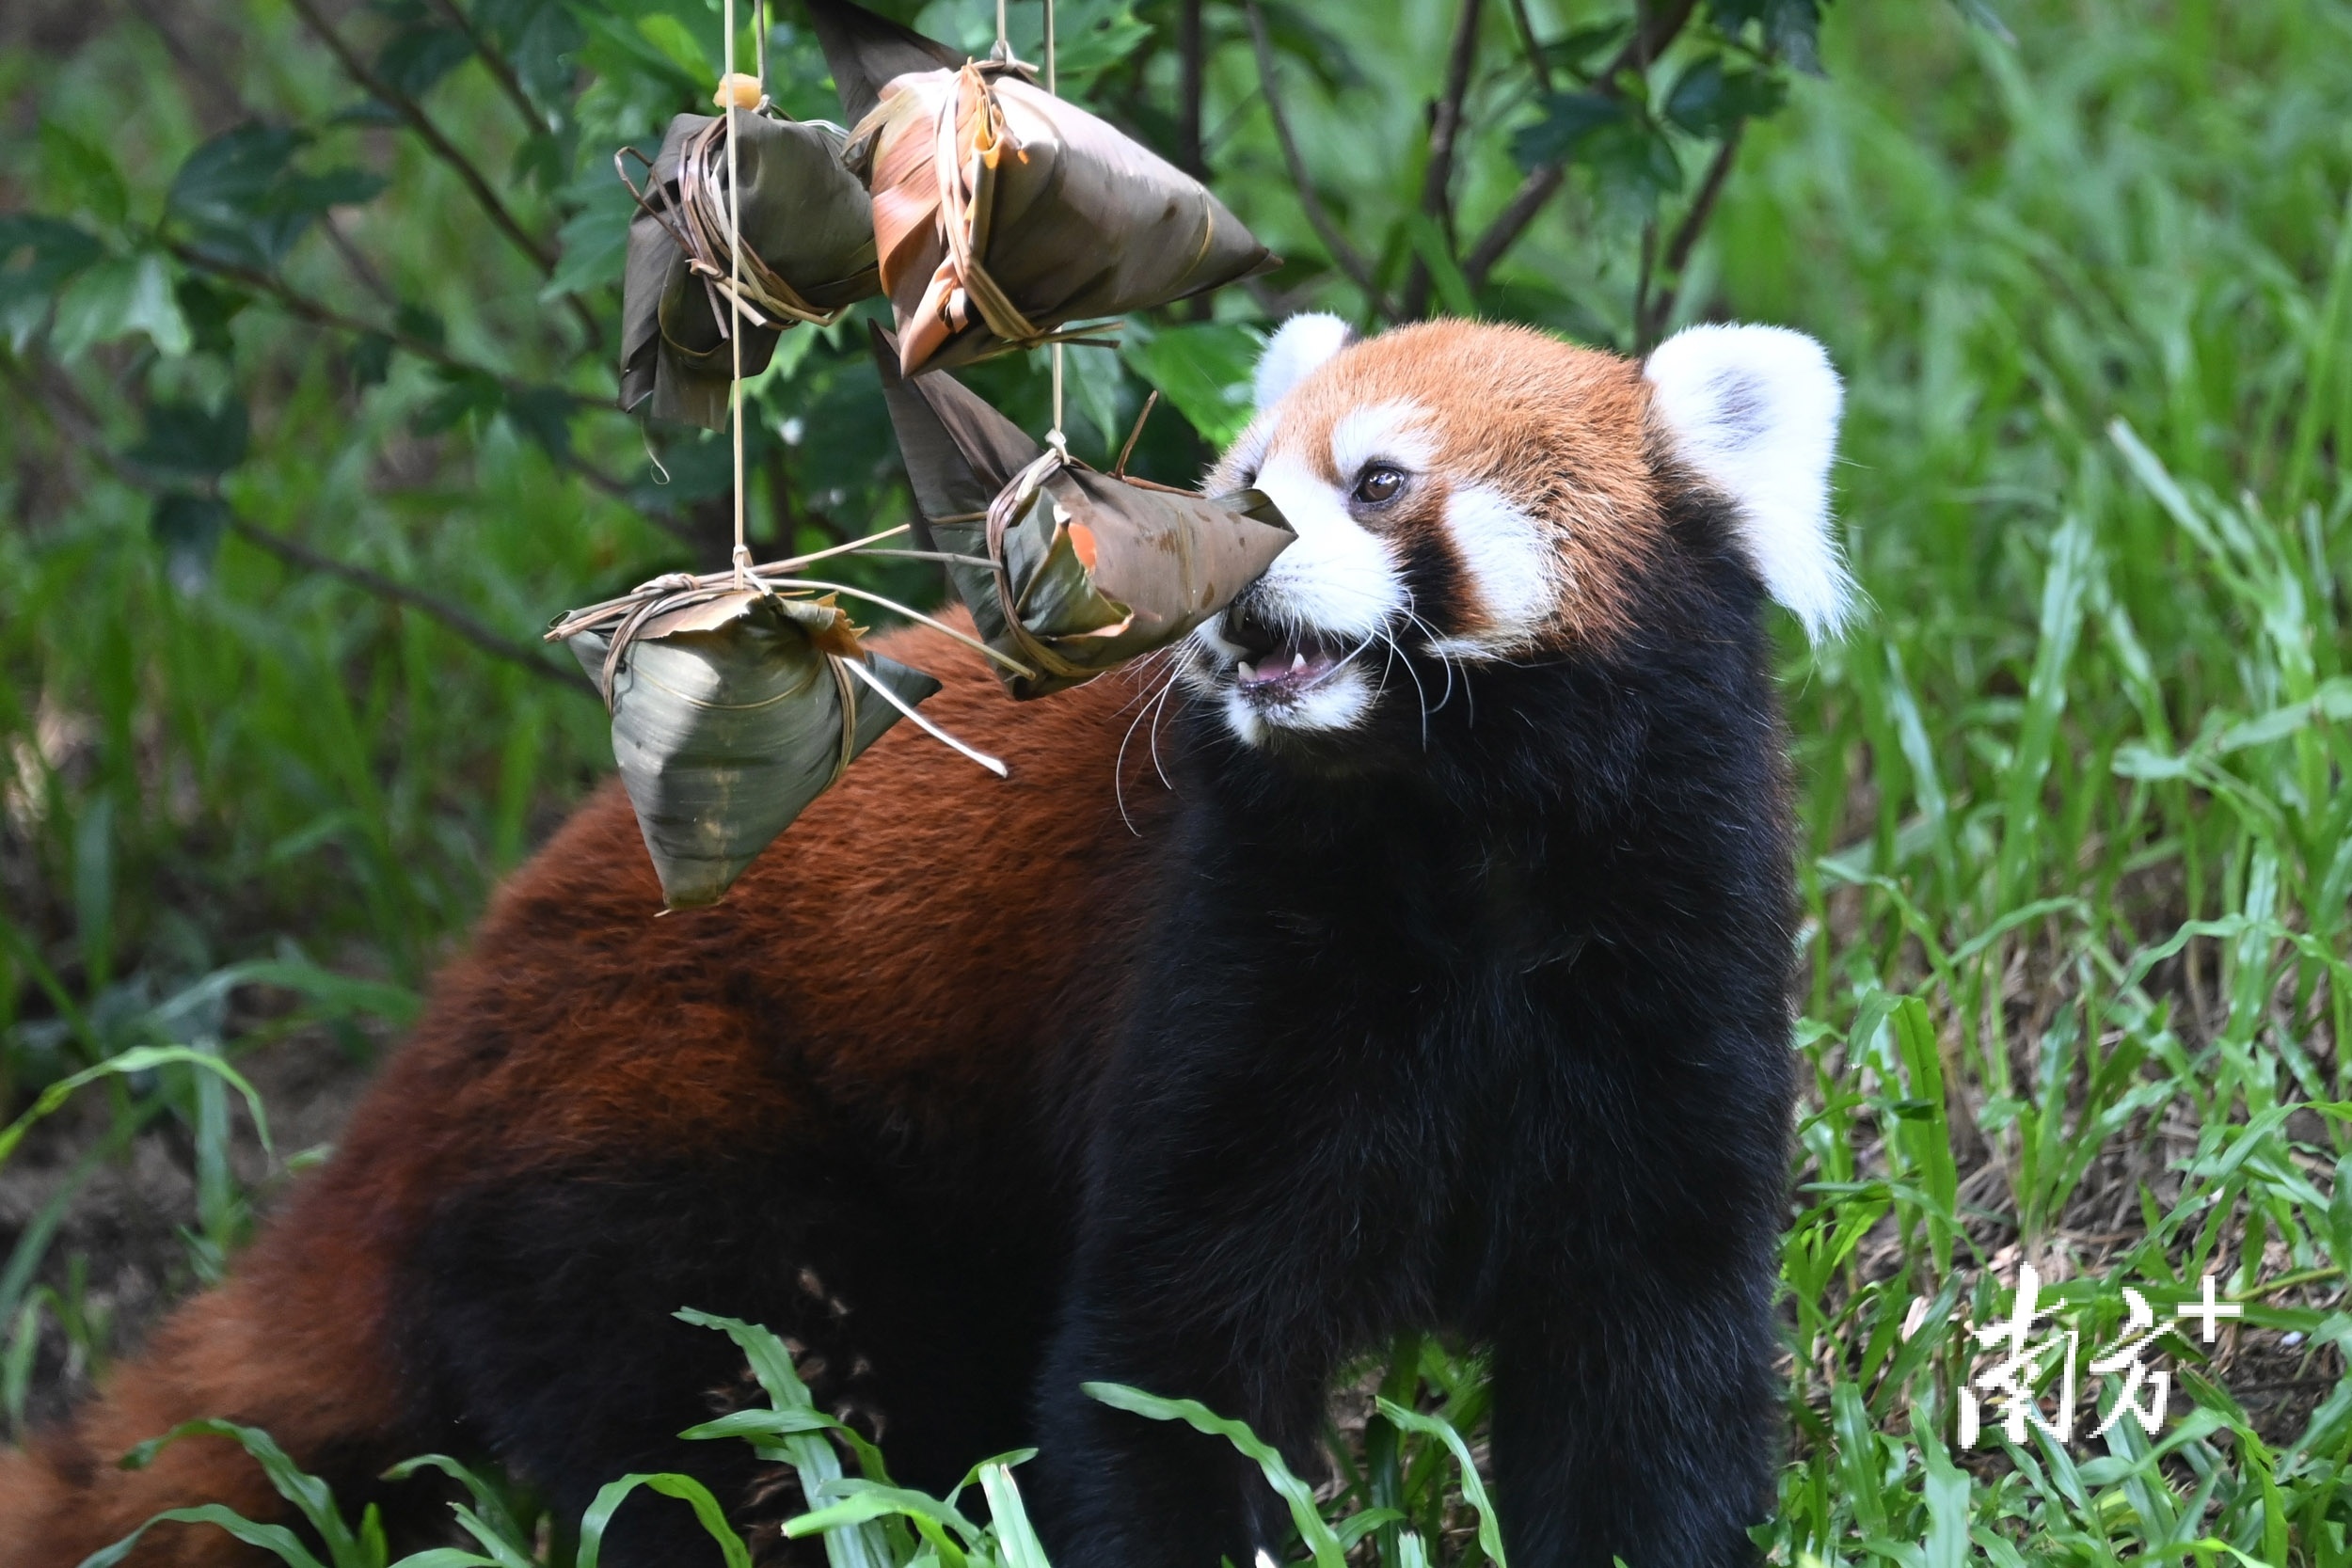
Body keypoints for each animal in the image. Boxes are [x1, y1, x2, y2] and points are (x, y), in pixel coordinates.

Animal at [0, 314, 1853, 1568]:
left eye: (1382, 481)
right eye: (1240, 483)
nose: (1242, 565)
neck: (1455, 863)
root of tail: (435, 1038)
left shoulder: (1660, 978)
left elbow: (1648, 1363)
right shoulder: (1233, 971)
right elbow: (1167, 1353)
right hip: (665, 1118)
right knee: (729, 1406)